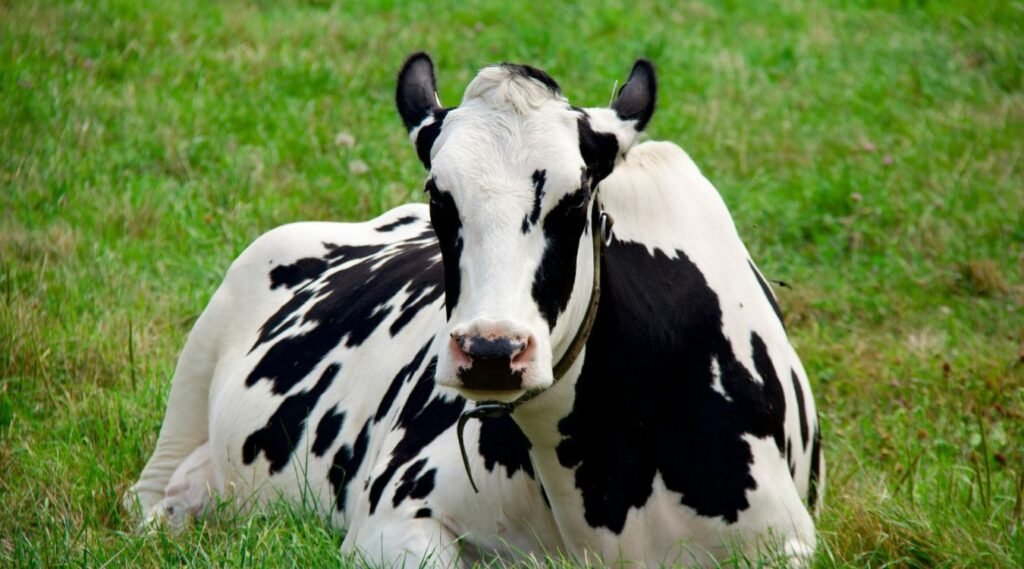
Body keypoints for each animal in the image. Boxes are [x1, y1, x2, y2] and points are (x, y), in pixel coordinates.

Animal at [126, 53, 824, 567]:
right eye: (441, 197)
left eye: (576, 200)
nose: (492, 351)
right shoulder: (391, 522)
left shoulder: (785, 541)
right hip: (195, 372)